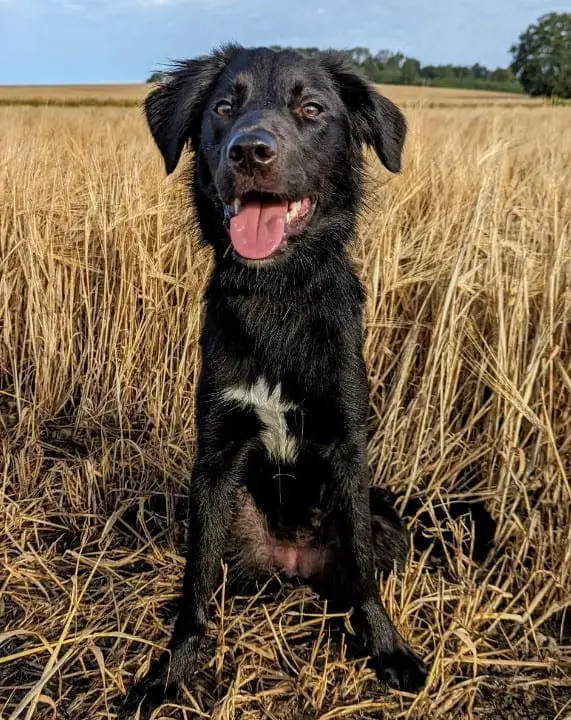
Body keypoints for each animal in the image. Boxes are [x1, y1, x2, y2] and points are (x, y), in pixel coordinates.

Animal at [120, 43, 436, 716]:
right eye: (223, 107)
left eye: (311, 109)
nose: (249, 151)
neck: (278, 296)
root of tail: (293, 563)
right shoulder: (215, 454)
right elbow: (194, 587)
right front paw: (172, 672)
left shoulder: (346, 444)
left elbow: (363, 573)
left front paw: (387, 651)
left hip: (385, 520)